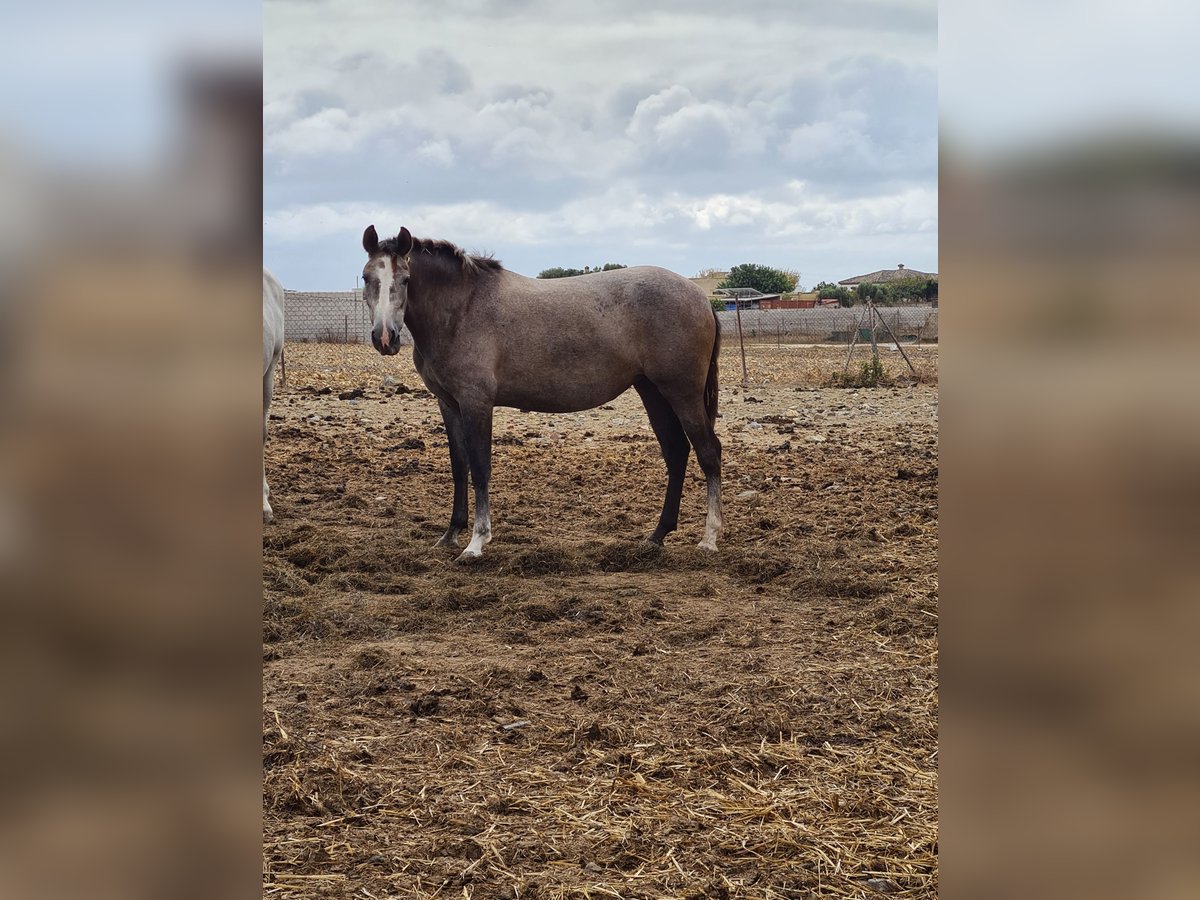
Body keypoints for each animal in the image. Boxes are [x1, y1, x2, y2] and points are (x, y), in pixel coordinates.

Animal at [360, 224, 724, 564]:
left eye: (406, 279)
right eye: (366, 277)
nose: (385, 337)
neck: (462, 308)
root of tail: (701, 297)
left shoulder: (477, 403)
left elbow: (480, 467)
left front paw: (476, 542)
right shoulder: (448, 404)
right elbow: (459, 466)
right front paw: (451, 534)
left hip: (682, 392)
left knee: (708, 451)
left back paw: (709, 538)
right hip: (653, 391)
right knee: (676, 452)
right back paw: (657, 535)